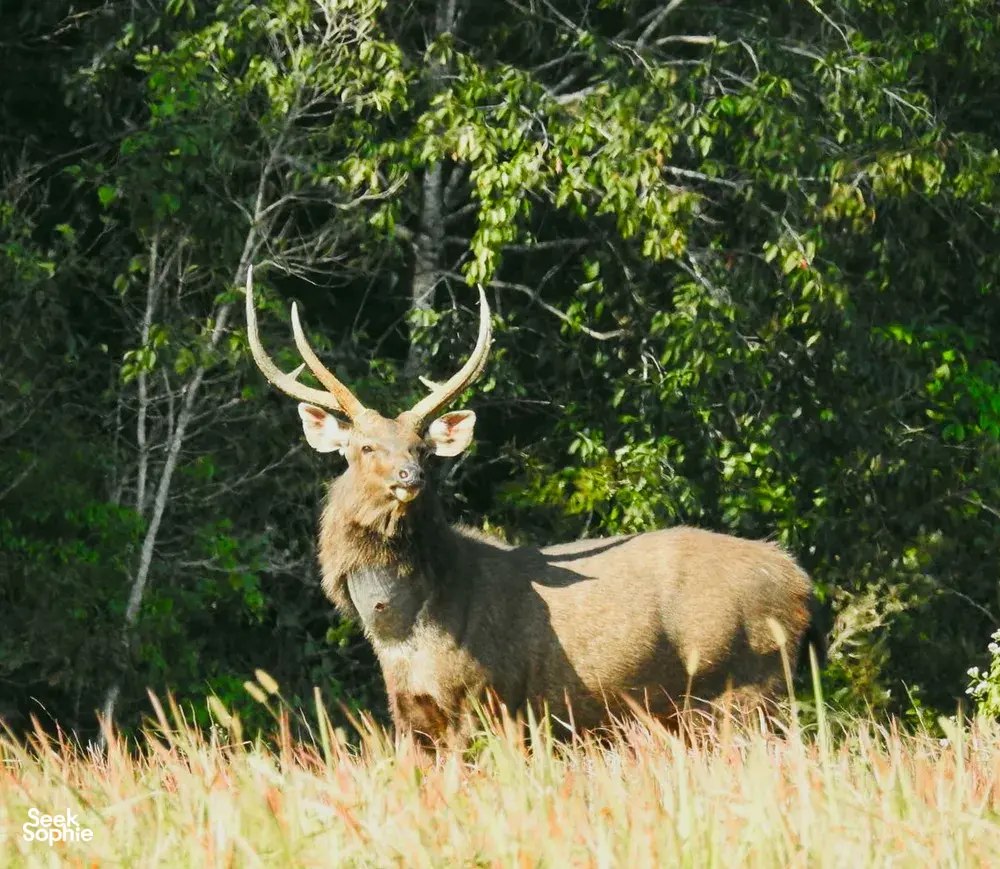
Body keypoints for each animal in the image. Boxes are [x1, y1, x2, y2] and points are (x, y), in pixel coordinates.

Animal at [245, 266, 825, 748]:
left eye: (421, 448)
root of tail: (802, 586)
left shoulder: (488, 699)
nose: (411, 477)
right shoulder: (412, 715)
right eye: (365, 447)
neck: (400, 630)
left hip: (747, 686)